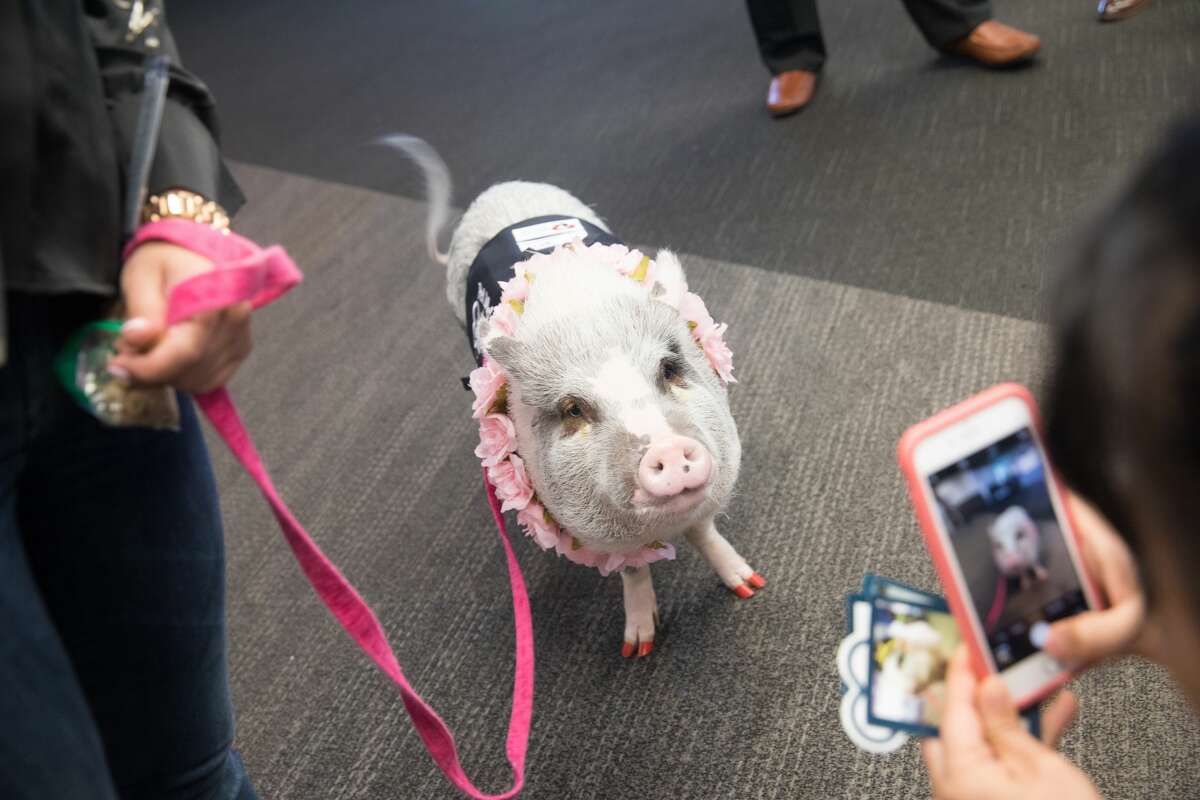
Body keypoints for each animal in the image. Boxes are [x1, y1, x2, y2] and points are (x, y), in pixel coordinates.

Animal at [381, 136, 758, 657]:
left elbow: (706, 532)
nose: (665, 448)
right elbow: (633, 570)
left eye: (669, 368)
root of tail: (495, 190)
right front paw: (636, 648)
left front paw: (750, 586)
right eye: (574, 409)